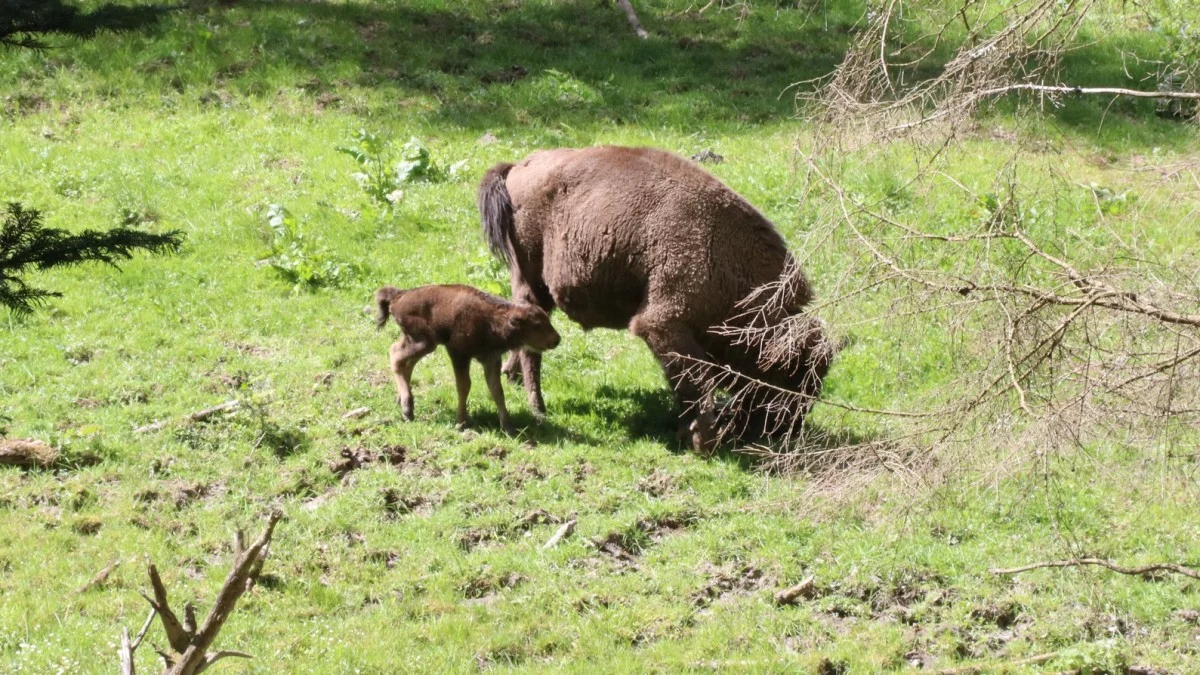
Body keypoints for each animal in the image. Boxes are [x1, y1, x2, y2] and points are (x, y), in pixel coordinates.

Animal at [372, 282, 559, 429]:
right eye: (536, 325)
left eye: (546, 319)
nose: (557, 339)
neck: (492, 320)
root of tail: (399, 295)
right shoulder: (459, 355)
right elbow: (464, 386)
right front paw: (461, 422)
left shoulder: (491, 359)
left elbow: (496, 390)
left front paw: (508, 427)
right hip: (423, 342)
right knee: (396, 356)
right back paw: (407, 409)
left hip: (422, 343)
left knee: (406, 361)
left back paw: (403, 404)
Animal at [477, 147, 835, 451]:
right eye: (790, 375)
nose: (785, 431)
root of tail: (519, 167)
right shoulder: (663, 325)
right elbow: (693, 382)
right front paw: (700, 439)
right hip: (530, 282)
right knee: (532, 350)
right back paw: (538, 408)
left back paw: (513, 379)